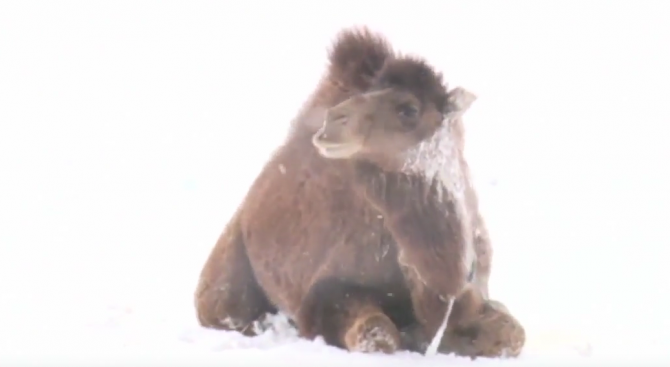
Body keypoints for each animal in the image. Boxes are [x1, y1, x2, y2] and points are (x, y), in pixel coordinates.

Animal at [193, 26, 524, 360]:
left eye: (409, 109)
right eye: (368, 92)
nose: (332, 122)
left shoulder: (471, 293)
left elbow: (513, 334)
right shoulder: (326, 292)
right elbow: (377, 335)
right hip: (226, 278)